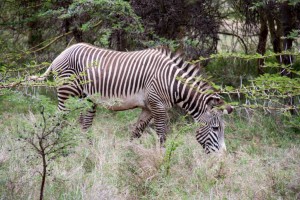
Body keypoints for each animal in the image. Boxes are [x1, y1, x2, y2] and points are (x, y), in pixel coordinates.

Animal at [28, 42, 232, 153]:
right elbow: (162, 135)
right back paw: (57, 148)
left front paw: (129, 153)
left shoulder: (148, 107)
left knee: (84, 125)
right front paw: (163, 159)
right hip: (67, 92)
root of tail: (60, 54)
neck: (171, 82)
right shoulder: (158, 105)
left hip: (86, 99)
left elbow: (136, 132)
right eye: (215, 128)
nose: (222, 158)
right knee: (58, 120)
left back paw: (87, 151)